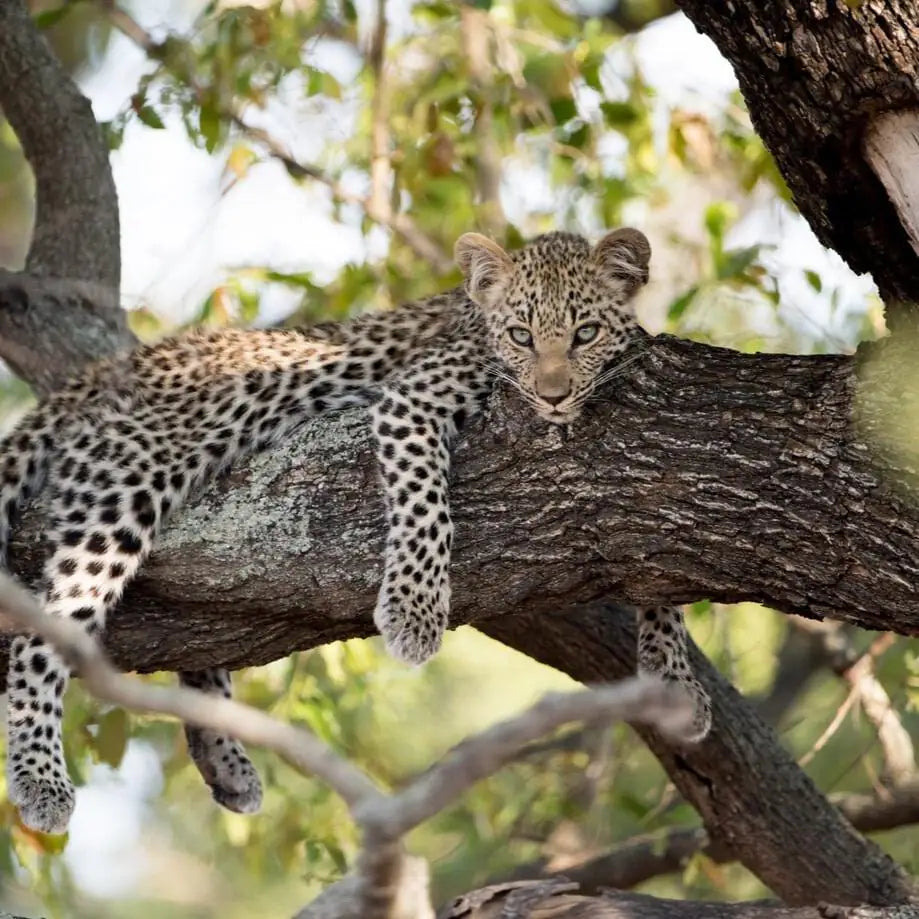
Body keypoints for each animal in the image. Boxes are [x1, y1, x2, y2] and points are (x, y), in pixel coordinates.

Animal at [1, 227, 712, 836]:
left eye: (585, 332)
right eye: (521, 334)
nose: (556, 394)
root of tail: (98, 375)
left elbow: (659, 564)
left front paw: (674, 677)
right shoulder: (410, 401)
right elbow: (426, 508)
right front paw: (415, 614)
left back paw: (226, 763)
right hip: (132, 475)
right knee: (42, 635)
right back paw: (40, 780)